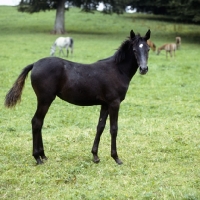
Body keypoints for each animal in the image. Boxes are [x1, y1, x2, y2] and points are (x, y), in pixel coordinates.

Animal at [4, 28, 150, 165]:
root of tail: (34, 64)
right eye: (134, 50)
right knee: (36, 122)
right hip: (45, 99)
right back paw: (37, 157)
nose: (143, 69)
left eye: (148, 49)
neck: (117, 70)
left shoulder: (105, 104)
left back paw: (43, 155)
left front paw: (95, 156)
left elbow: (100, 127)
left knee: (39, 122)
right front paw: (116, 158)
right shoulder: (114, 103)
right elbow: (114, 128)